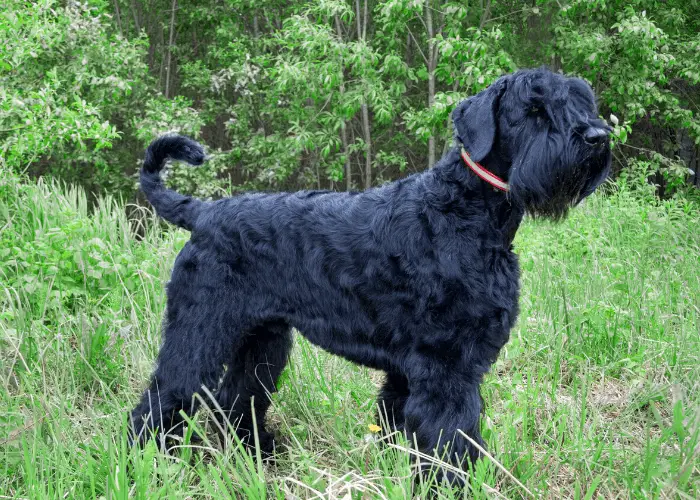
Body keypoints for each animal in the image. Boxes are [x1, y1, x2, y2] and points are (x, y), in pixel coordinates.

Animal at [129, 68, 608, 482]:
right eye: (534, 108)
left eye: (580, 100)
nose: (598, 136)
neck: (465, 210)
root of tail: (203, 213)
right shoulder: (447, 366)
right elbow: (451, 441)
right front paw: (451, 486)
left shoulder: (409, 370)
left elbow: (402, 428)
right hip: (201, 331)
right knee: (162, 399)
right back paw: (145, 468)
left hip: (263, 341)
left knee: (236, 400)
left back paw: (258, 460)